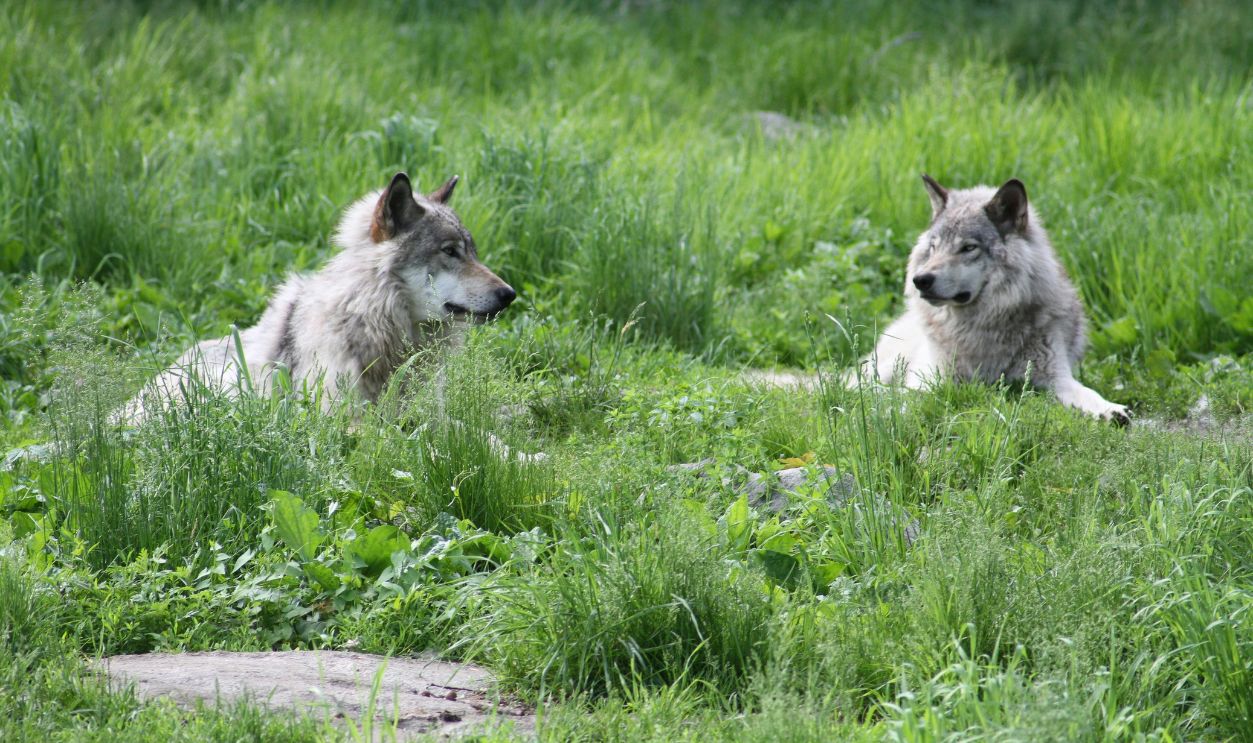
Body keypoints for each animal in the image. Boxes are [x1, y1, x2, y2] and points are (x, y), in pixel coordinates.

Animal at [855, 175, 1129, 424]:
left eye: (968, 248)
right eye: (934, 247)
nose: (920, 280)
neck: (983, 325)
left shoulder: (1057, 377)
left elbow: (1087, 393)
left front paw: (1110, 409)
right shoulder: (935, 377)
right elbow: (918, 396)